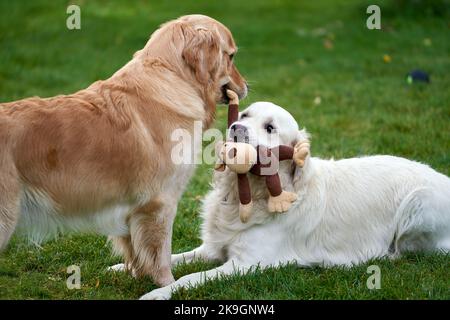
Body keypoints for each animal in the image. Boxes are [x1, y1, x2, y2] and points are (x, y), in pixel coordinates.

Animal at [0, 14, 246, 288]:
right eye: (231, 56)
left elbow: (136, 250)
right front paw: (167, 285)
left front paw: (137, 274)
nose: (246, 86)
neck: (172, 78)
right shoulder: (160, 202)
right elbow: (161, 253)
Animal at [141, 101, 450, 298]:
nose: (236, 128)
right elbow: (174, 258)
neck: (251, 194)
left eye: (270, 128)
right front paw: (133, 270)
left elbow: (191, 277)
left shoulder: (246, 262)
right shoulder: (213, 248)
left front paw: (158, 293)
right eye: (244, 114)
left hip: (418, 203)